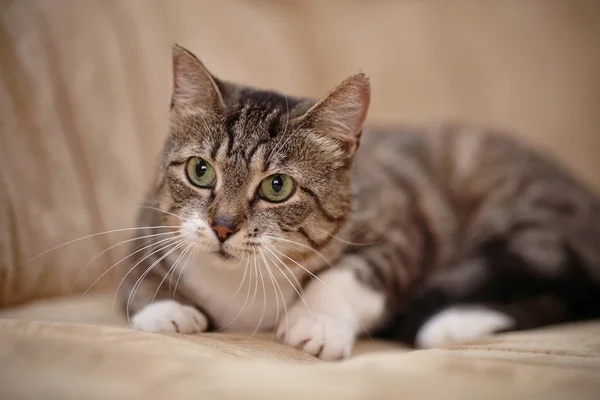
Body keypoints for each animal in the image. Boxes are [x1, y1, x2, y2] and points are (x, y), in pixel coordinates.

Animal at [118, 45, 600, 360]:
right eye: (200, 171)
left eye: (277, 186)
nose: (222, 226)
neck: (238, 285)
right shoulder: (147, 218)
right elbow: (138, 266)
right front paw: (164, 309)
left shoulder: (402, 224)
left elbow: (349, 275)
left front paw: (315, 322)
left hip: (534, 225)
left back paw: (448, 324)